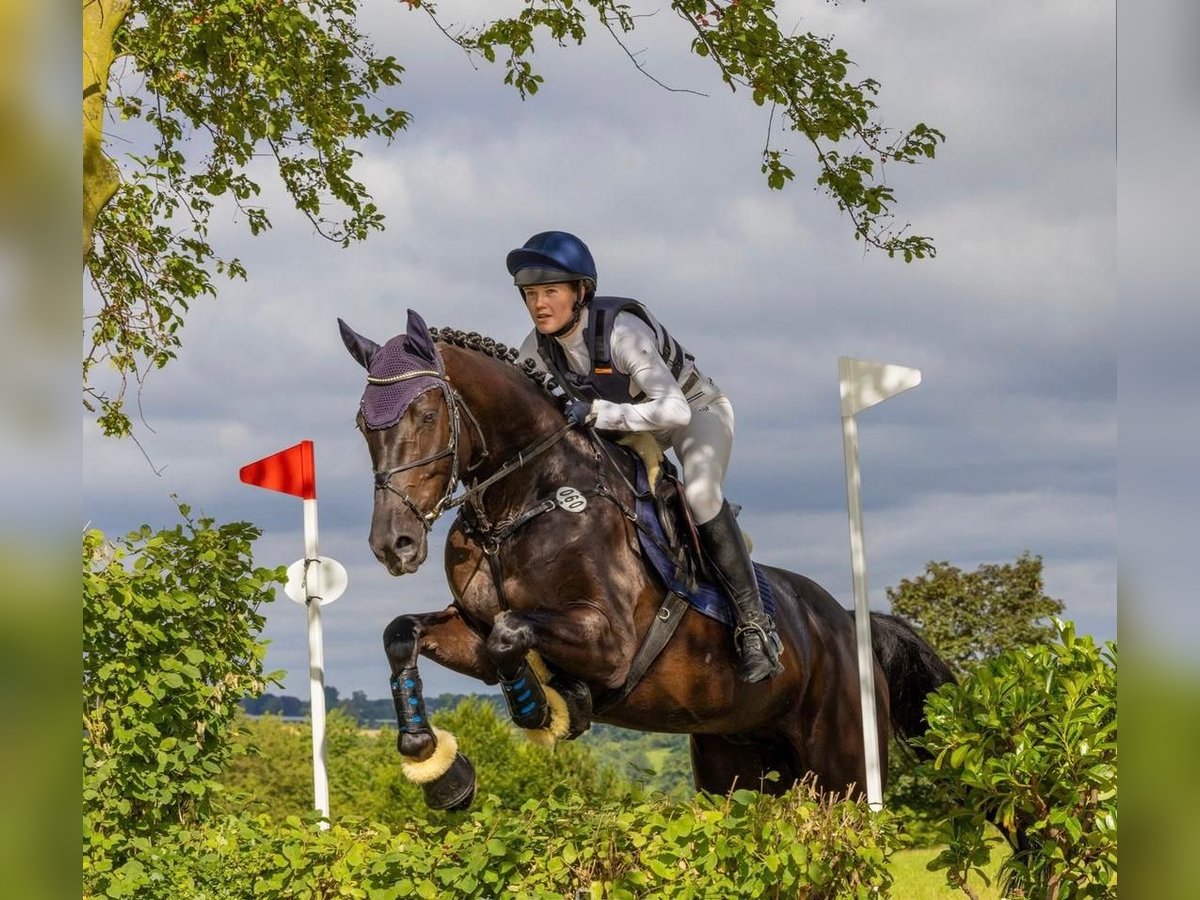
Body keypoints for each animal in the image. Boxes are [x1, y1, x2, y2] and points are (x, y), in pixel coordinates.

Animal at [340, 309, 955, 811]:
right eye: (363, 424)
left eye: (425, 415)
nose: (393, 544)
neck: (522, 502)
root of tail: (848, 624)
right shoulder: (470, 628)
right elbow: (406, 634)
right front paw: (435, 764)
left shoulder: (611, 642)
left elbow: (510, 632)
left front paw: (544, 710)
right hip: (734, 765)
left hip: (842, 771)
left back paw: (757, 646)